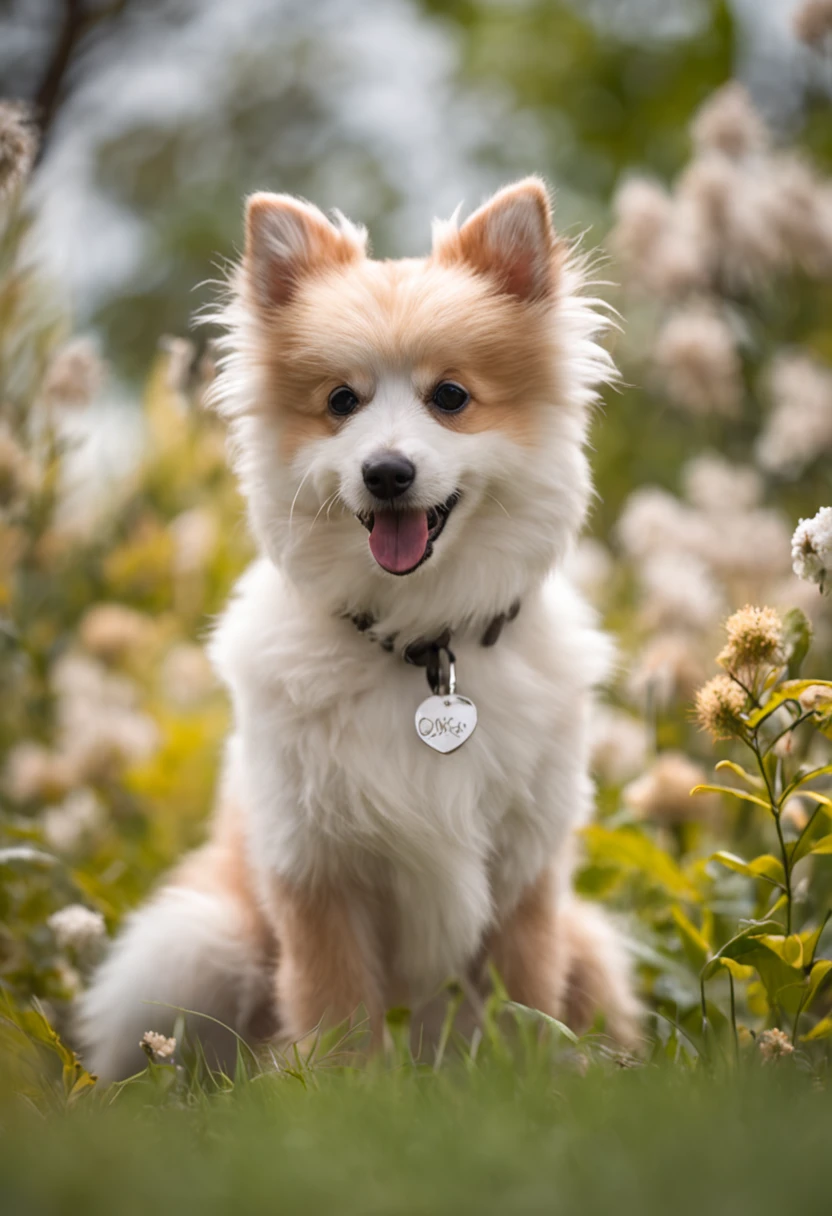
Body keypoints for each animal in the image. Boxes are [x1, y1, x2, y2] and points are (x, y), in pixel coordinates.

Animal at [79, 177, 637, 1074]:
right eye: (341, 403)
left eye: (451, 398)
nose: (387, 471)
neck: (421, 643)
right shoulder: (316, 868)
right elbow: (338, 1013)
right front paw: (345, 1088)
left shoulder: (527, 873)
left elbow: (523, 1002)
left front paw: (522, 1077)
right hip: (192, 943)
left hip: (593, 948)